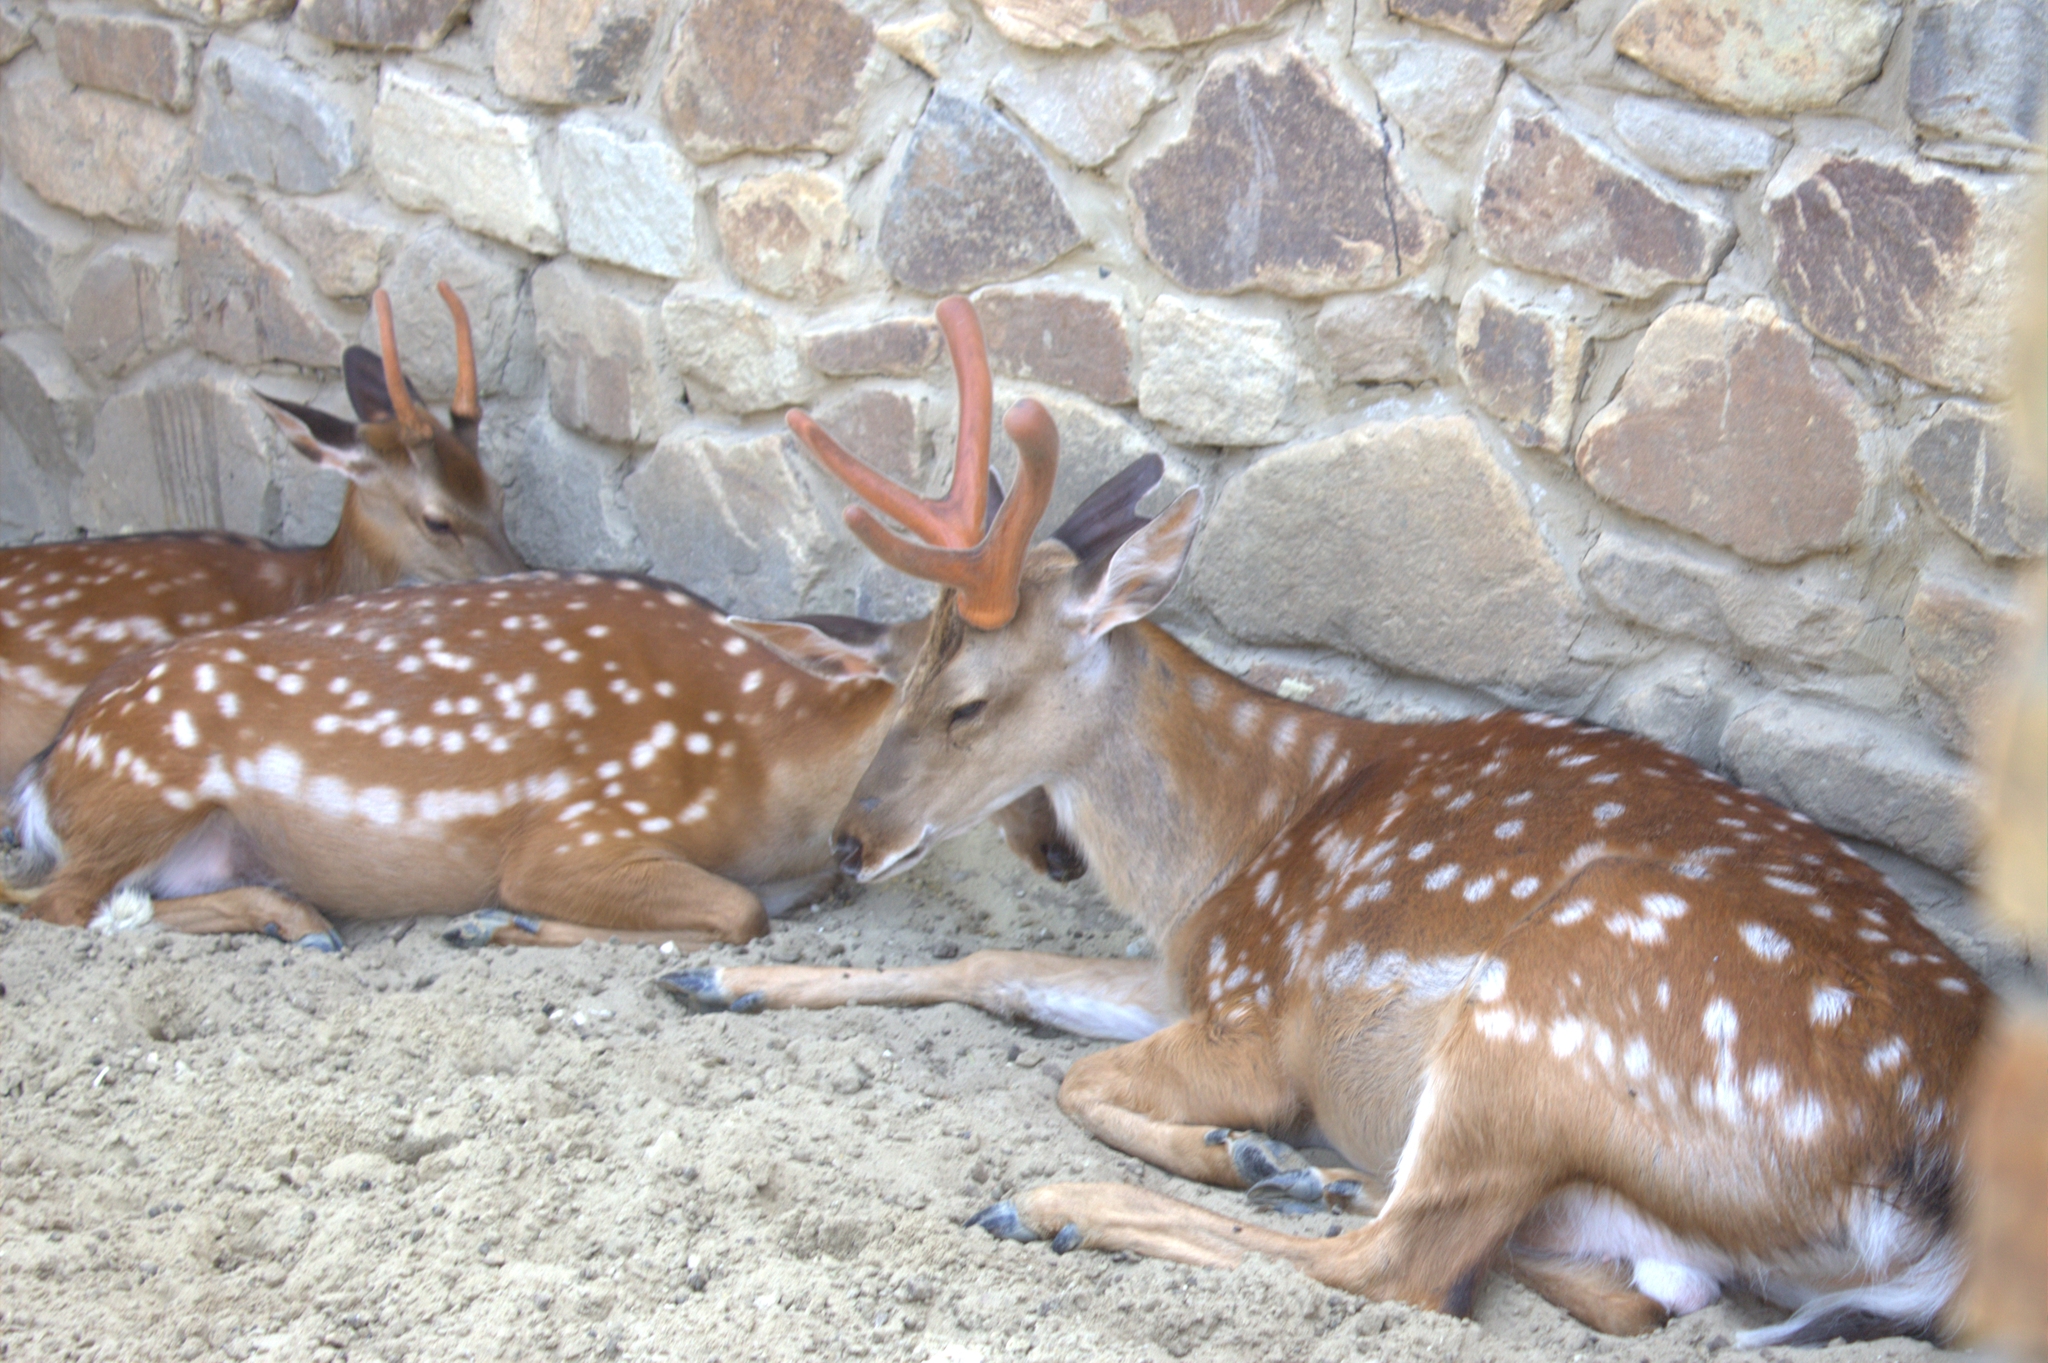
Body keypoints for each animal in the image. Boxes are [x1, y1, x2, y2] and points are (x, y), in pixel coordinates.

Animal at [658, 296, 1996, 1347]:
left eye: (968, 700)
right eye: (892, 675)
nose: (851, 841)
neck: (1225, 847)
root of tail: (1934, 1208)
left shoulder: (1255, 1007)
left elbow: (1077, 1075)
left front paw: (1235, 1147)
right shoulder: (1193, 968)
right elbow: (991, 966)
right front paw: (714, 977)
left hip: (1538, 1022)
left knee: (1404, 1271)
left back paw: (1069, 1203)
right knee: (1618, 1286)